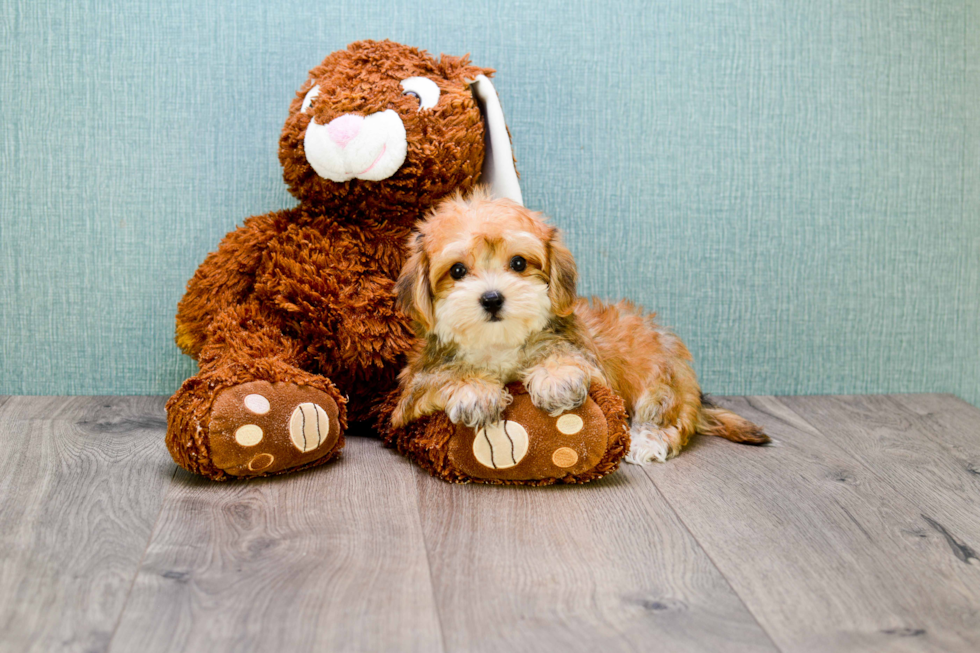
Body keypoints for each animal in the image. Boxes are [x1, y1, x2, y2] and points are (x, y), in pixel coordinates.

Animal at [388, 187, 764, 464]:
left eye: (519, 263)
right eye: (457, 271)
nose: (492, 298)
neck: (499, 344)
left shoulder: (591, 364)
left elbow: (565, 358)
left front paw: (556, 378)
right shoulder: (411, 393)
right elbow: (440, 379)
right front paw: (474, 391)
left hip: (661, 376)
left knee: (664, 416)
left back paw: (646, 442)